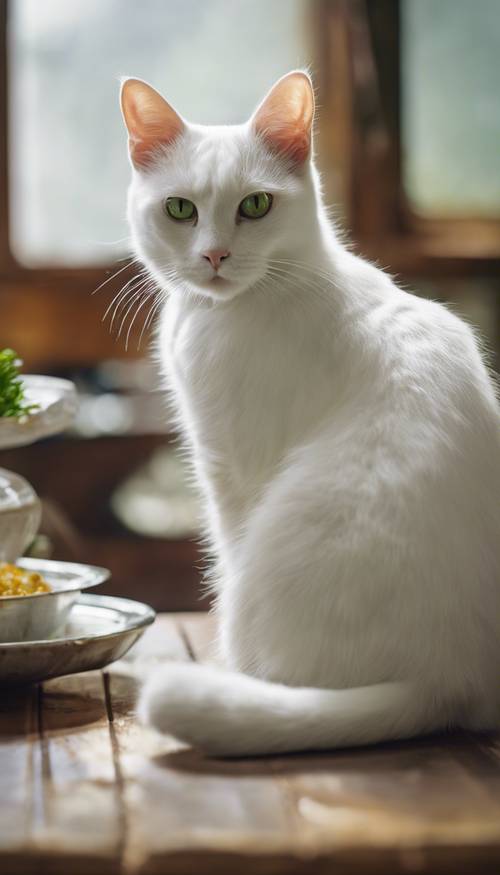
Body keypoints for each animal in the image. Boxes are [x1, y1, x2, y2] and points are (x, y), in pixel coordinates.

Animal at [121, 72, 500, 756]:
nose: (215, 255)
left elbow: (224, 546)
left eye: (255, 206)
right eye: (181, 209)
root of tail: (443, 681)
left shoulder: (229, 471)